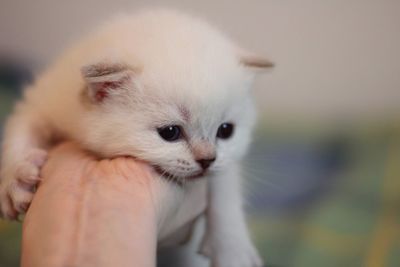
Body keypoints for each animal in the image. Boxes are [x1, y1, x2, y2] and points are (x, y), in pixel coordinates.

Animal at [0, 8, 272, 267]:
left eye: (225, 131)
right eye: (170, 133)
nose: (207, 160)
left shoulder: (225, 162)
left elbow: (225, 188)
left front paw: (232, 249)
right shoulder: (44, 102)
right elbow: (20, 132)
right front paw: (14, 180)